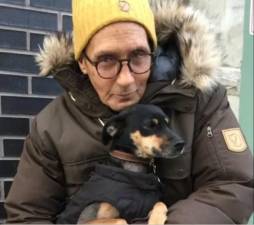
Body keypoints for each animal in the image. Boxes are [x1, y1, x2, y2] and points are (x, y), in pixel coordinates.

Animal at [57, 104, 185, 224]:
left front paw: (156, 220)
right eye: (150, 125)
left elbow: (160, 204)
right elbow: (121, 220)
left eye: (168, 125)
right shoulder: (84, 220)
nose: (181, 144)